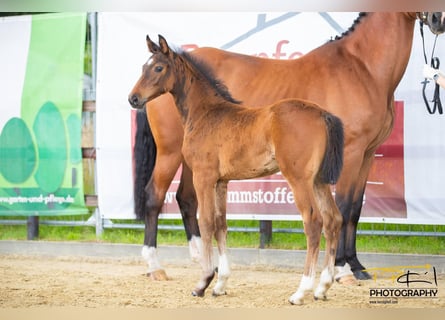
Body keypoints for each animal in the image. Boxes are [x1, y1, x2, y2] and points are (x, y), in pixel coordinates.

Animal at [128, 33, 344, 304]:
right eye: (143, 67)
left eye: (158, 68)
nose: (133, 98)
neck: (205, 112)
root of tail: (322, 114)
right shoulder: (222, 181)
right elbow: (221, 223)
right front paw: (220, 284)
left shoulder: (204, 177)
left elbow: (206, 221)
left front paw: (203, 282)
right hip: (319, 181)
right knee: (333, 219)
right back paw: (322, 287)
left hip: (299, 179)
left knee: (313, 222)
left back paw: (300, 291)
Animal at [134, 12, 444, 282]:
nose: (437, 19)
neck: (361, 67)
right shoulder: (352, 152)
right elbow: (344, 206)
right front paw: (342, 268)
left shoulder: (367, 155)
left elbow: (355, 209)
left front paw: (357, 266)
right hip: (171, 152)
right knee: (154, 196)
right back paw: (155, 266)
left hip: (195, 160)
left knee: (186, 198)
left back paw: (203, 260)